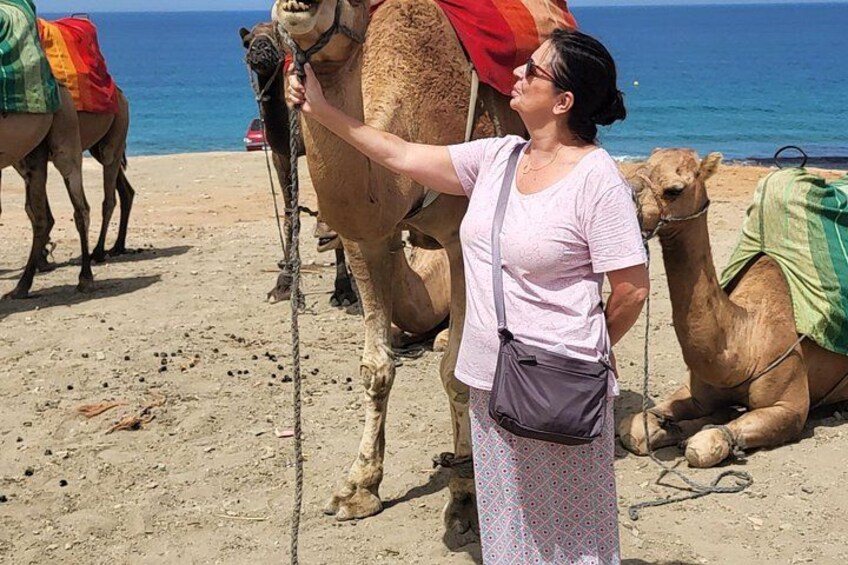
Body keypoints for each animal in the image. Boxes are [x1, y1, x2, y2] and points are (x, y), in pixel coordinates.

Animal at [618, 148, 848, 468]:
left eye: (674, 189)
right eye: (632, 174)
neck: (745, 341)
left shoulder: (789, 407)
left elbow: (703, 445)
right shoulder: (695, 391)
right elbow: (635, 430)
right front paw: (675, 426)